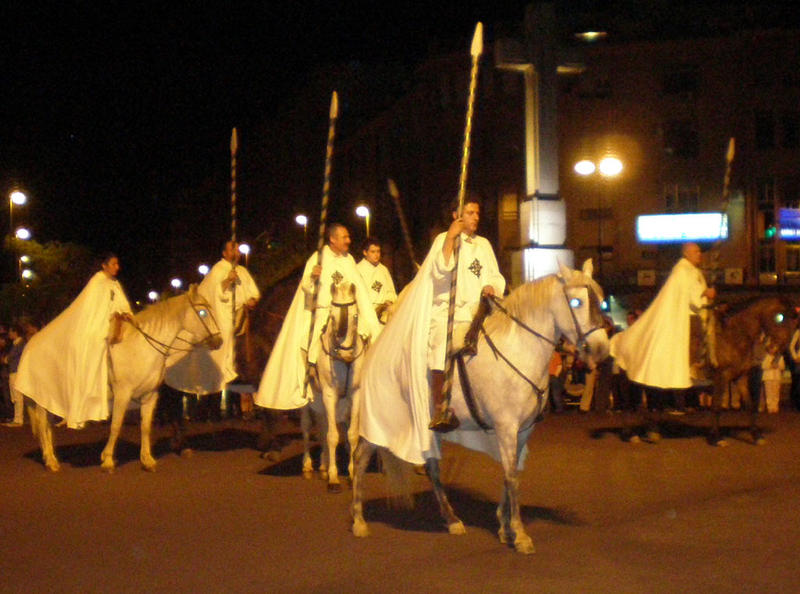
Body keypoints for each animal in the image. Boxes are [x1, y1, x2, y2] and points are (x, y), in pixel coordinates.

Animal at [27, 286, 222, 472]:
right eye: (203, 312)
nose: (219, 341)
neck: (142, 349)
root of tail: (33, 342)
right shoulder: (123, 394)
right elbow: (116, 426)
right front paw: (107, 460)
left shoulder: (150, 395)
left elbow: (145, 427)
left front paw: (147, 460)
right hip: (43, 398)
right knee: (43, 425)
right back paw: (51, 461)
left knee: (47, 427)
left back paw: (50, 457)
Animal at [304, 280, 368, 492]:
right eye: (332, 316)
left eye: (356, 316)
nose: (346, 354)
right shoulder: (330, 394)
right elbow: (333, 435)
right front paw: (333, 478)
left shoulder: (355, 395)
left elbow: (352, 435)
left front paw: (352, 473)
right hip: (309, 403)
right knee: (307, 429)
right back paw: (308, 465)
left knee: (323, 426)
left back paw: (323, 466)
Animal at [350, 260, 608, 552]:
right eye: (576, 301)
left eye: (601, 301)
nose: (601, 349)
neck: (519, 349)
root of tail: (373, 352)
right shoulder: (506, 427)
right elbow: (511, 475)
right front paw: (520, 534)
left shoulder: (522, 430)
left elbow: (512, 471)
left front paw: (505, 527)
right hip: (378, 426)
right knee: (359, 458)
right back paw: (359, 521)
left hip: (427, 432)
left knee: (432, 468)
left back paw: (452, 520)